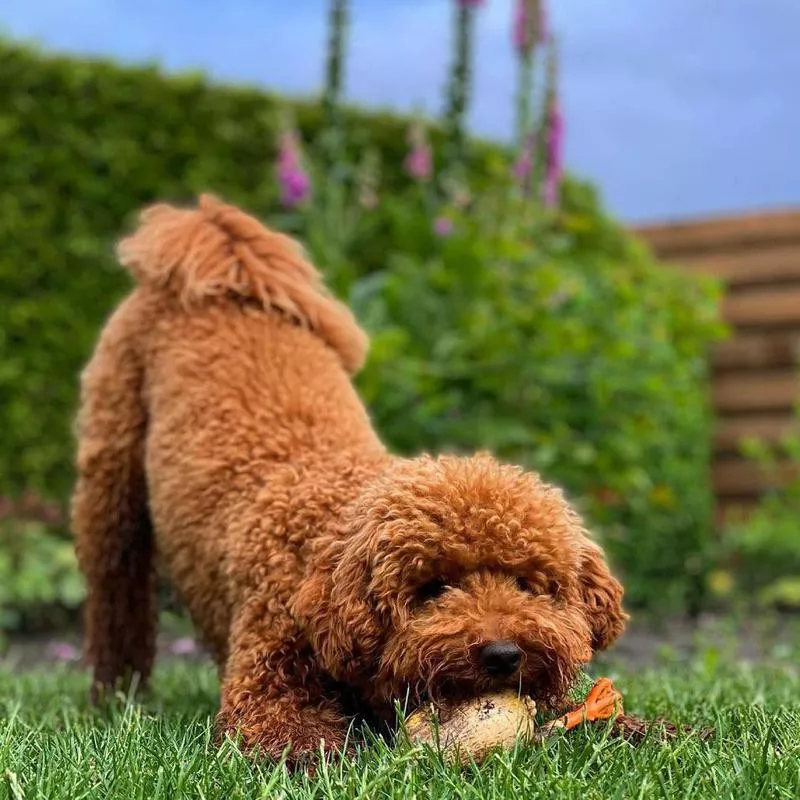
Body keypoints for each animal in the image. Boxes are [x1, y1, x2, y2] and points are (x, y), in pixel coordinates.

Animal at [73, 192, 624, 764]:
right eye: (434, 588)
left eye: (528, 584)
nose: (503, 654)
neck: (324, 545)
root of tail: (213, 236)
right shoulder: (266, 686)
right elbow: (291, 736)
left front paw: (630, 727)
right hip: (111, 488)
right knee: (116, 601)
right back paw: (115, 698)